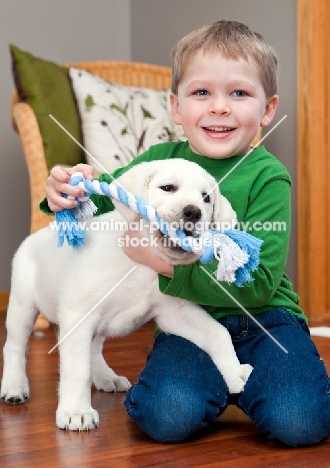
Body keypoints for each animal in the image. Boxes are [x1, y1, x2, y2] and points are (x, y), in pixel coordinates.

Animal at [1, 160, 253, 432]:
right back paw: (14, 387)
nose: (193, 212)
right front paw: (76, 411)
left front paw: (235, 372)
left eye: (206, 198)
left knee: (93, 348)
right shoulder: (78, 316)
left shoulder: (174, 313)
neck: (143, 261)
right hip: (23, 303)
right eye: (168, 188)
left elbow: (218, 332)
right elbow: (77, 369)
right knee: (15, 346)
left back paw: (106, 377)